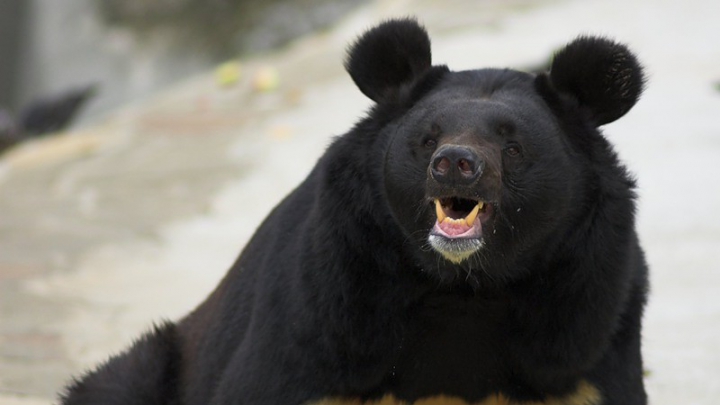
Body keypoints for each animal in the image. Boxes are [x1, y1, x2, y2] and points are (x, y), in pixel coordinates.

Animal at [60, 18, 648, 404]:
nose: (455, 164)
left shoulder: (585, 342)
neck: (464, 289)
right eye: (427, 139)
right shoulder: (324, 322)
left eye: (513, 145)